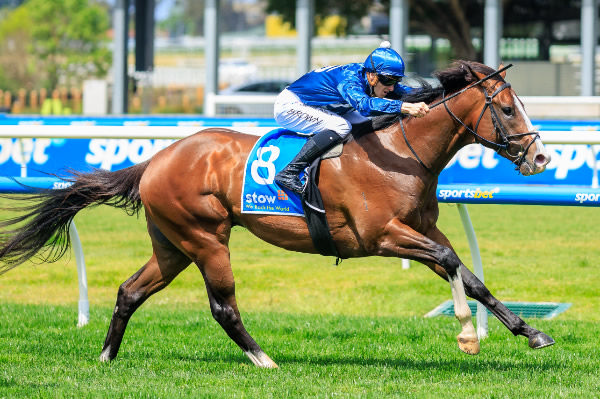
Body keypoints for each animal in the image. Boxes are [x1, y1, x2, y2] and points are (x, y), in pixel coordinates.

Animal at [0, 61, 552, 370]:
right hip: (205, 238)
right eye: (506, 109)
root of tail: (156, 159)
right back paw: (264, 359)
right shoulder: (382, 236)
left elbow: (469, 274)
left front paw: (531, 333)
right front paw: (466, 333)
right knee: (223, 306)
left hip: (172, 244)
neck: (401, 152)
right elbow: (450, 261)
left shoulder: (420, 227)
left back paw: (107, 357)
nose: (542, 157)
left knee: (130, 291)